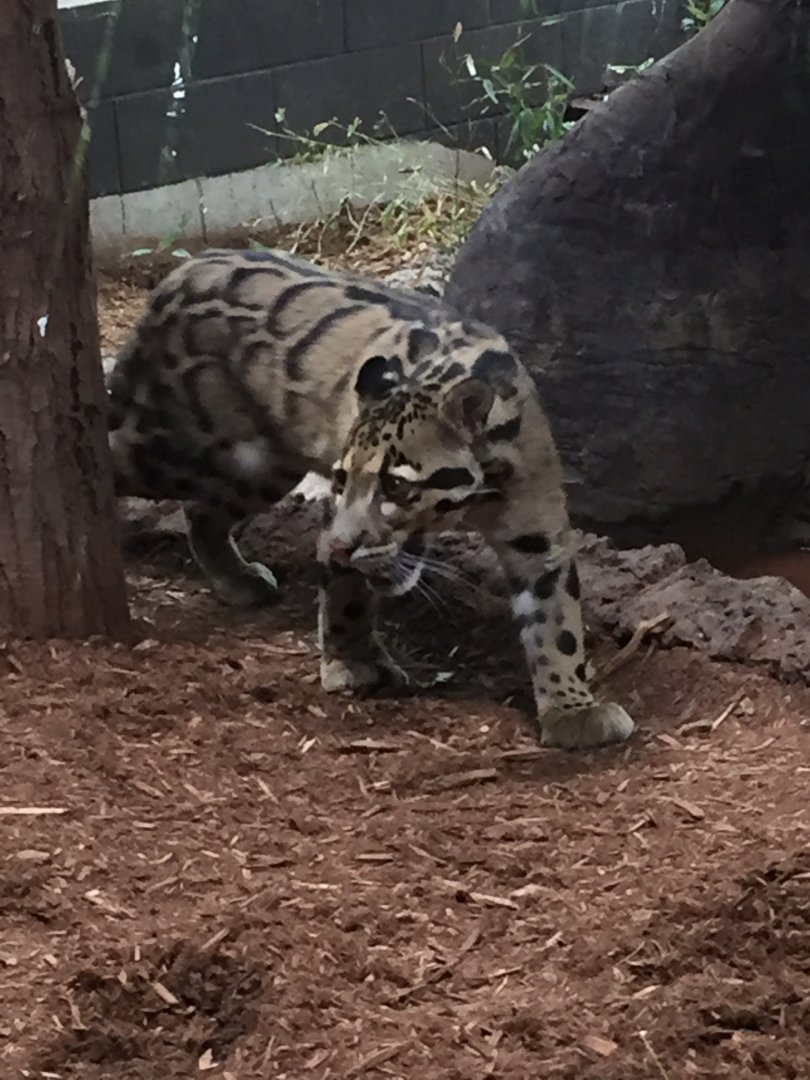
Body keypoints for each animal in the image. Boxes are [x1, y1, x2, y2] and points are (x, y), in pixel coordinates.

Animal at [107, 248, 634, 750]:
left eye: (396, 486)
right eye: (342, 479)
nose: (346, 544)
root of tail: (179, 273)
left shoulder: (536, 529)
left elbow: (555, 619)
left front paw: (571, 708)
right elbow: (346, 592)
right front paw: (353, 664)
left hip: (257, 467)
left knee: (201, 510)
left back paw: (236, 578)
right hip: (179, 449)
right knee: (112, 452)